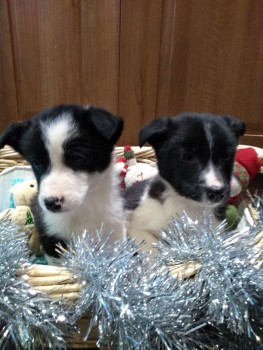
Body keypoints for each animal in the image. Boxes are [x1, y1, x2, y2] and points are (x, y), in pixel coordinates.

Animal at [0, 104, 127, 262]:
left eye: (77, 158)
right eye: (37, 163)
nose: (50, 203)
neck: (83, 208)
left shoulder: (114, 229)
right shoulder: (51, 235)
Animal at [125, 113, 246, 253]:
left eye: (226, 155)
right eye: (187, 156)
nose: (217, 192)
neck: (189, 206)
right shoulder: (136, 225)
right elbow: (153, 248)